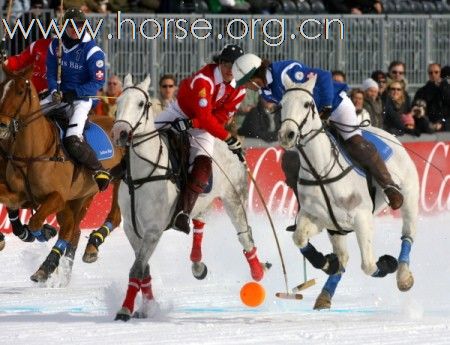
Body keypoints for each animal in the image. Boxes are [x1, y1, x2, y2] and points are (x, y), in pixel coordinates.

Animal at [0, 65, 122, 282]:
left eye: (20, 92)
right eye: (1, 89)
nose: (2, 125)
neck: (33, 153)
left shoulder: (58, 196)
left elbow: (35, 222)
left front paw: (44, 232)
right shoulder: (20, 194)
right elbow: (19, 214)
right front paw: (39, 233)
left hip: (120, 181)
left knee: (110, 216)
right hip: (82, 195)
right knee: (73, 229)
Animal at [110, 74, 268, 320]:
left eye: (141, 103)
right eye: (117, 102)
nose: (120, 134)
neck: (142, 173)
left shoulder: (153, 230)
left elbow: (137, 268)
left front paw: (125, 310)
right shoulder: (130, 227)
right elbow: (144, 269)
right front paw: (147, 307)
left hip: (234, 196)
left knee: (244, 235)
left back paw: (258, 270)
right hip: (203, 199)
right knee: (199, 220)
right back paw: (197, 264)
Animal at [276, 75, 420, 310]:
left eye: (307, 104)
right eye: (281, 104)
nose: (287, 135)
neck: (320, 170)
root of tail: (389, 134)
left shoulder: (362, 217)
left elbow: (369, 265)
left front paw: (387, 263)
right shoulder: (318, 217)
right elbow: (299, 238)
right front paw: (326, 262)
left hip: (409, 198)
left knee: (408, 235)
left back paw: (404, 277)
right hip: (337, 228)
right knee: (343, 257)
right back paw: (325, 294)